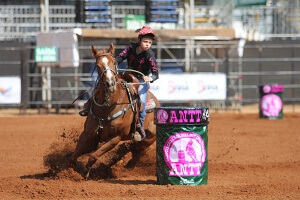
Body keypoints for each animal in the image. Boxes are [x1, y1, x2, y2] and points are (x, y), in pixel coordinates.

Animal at [69, 43, 161, 178]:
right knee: (131, 149)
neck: (107, 108)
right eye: (98, 65)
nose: (110, 84)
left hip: (149, 139)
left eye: (113, 63)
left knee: (136, 152)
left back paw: (127, 166)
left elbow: (93, 156)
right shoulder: (88, 134)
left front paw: (86, 172)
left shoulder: (116, 138)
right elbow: (73, 157)